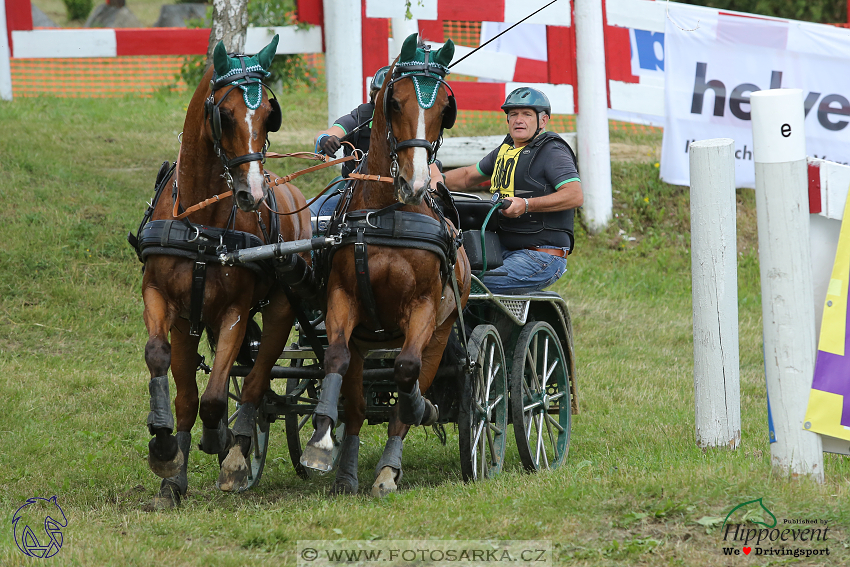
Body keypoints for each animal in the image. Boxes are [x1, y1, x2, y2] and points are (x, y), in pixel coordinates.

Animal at [137, 35, 310, 506]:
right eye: (225, 114)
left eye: (269, 114)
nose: (253, 193)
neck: (201, 222)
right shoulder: (165, 302)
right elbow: (164, 368)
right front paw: (166, 456)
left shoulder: (234, 310)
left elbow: (216, 397)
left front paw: (222, 442)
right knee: (196, 393)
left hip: (282, 308)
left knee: (256, 378)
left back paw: (238, 449)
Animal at [298, 34, 470, 496]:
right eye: (395, 102)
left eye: (444, 108)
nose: (416, 183)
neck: (388, 213)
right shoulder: (343, 300)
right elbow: (335, 360)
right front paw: (321, 442)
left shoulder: (424, 308)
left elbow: (406, 372)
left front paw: (419, 409)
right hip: (366, 341)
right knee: (357, 405)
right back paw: (347, 471)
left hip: (443, 330)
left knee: (412, 384)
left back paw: (389, 468)